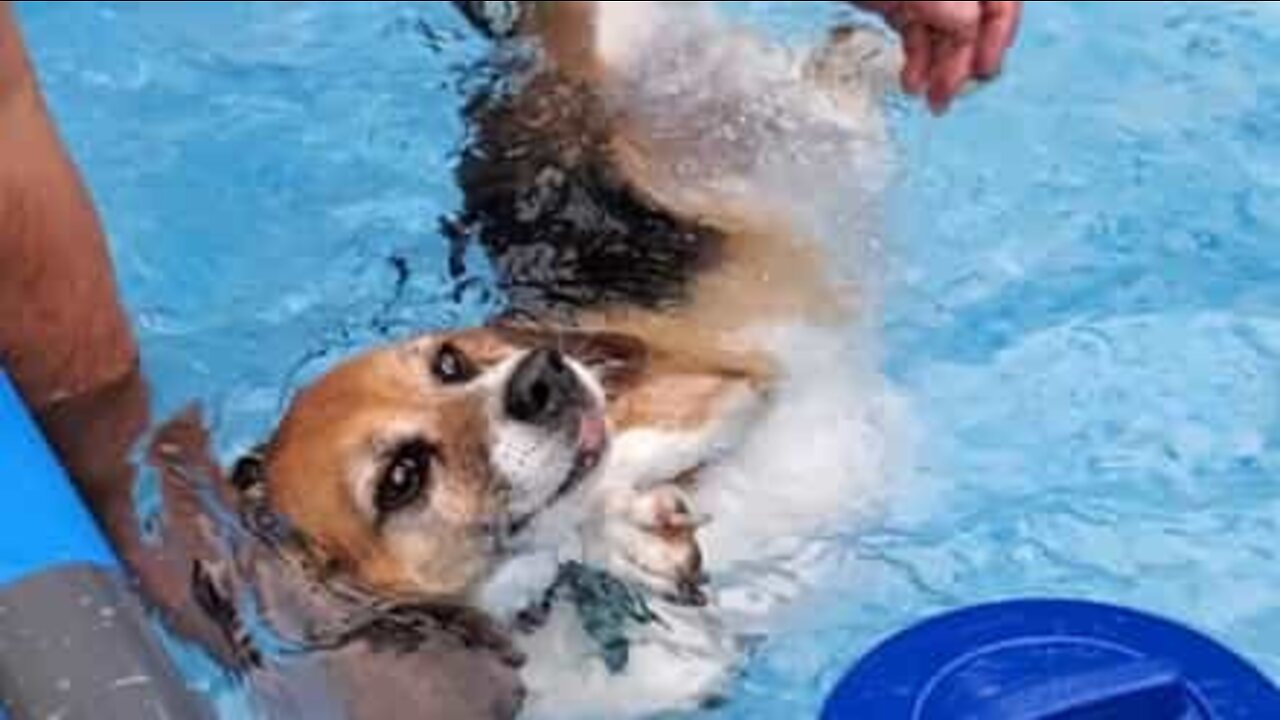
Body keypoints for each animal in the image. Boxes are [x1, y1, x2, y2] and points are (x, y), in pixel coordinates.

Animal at [140, 2, 906, 712]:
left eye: (449, 362)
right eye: (401, 478)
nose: (542, 376)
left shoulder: (717, 386)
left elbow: (603, 481)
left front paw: (616, 528)